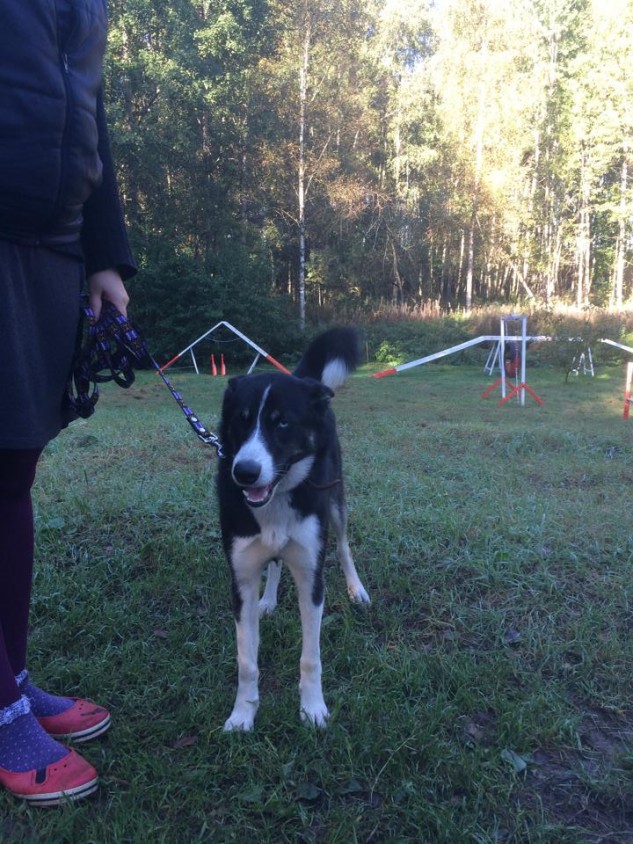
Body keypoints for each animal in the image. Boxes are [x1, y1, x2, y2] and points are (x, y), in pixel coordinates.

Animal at [217, 327, 370, 732]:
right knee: (273, 561)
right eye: (241, 420)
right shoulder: (240, 579)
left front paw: (312, 709)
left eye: (282, 422)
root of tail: (304, 379)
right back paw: (268, 599)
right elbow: (247, 661)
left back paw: (357, 589)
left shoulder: (311, 577)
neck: (278, 497)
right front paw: (243, 714)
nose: (244, 472)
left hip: (334, 499)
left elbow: (310, 657)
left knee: (343, 546)